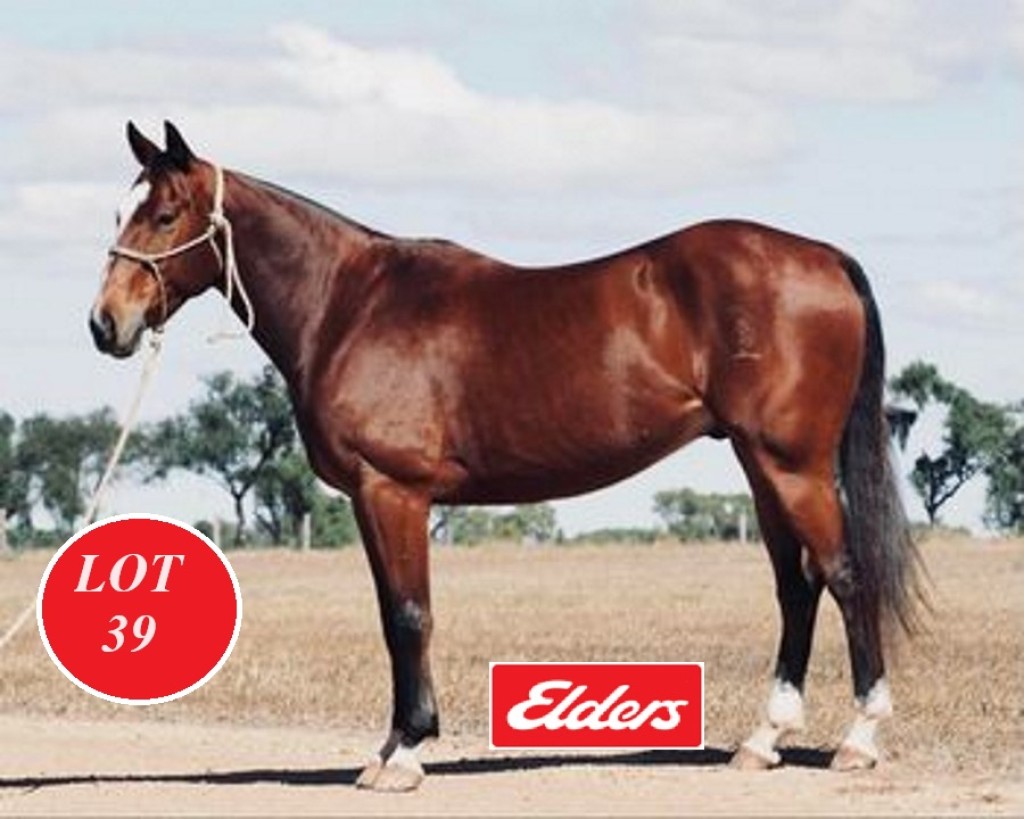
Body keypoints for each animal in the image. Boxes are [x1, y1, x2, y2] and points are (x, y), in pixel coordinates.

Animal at [89, 121, 921, 791]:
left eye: (165, 214)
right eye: (121, 212)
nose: (106, 324)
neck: (349, 304)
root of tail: (825, 258)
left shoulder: (393, 490)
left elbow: (409, 615)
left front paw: (405, 753)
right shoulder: (370, 498)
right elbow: (392, 614)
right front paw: (390, 746)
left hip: (793, 463)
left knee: (844, 575)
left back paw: (858, 739)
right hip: (761, 462)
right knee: (796, 586)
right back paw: (762, 740)